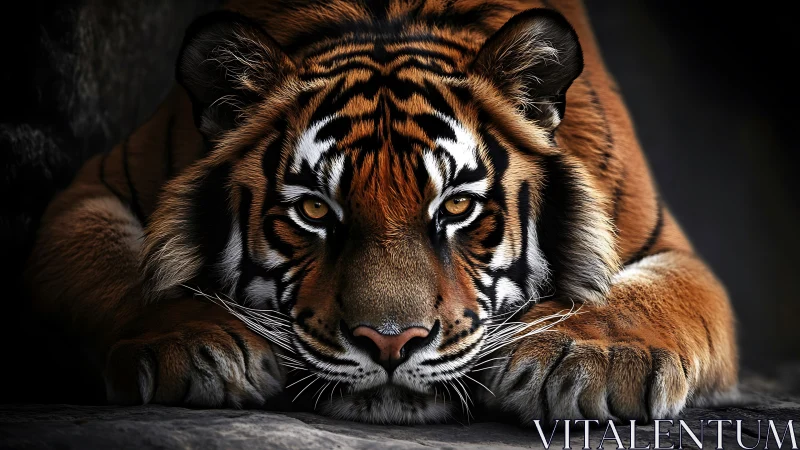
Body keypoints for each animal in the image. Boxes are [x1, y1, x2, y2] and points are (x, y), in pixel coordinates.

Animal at [24, 0, 738, 424]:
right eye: (315, 210)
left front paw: (590, 359)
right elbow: (125, 273)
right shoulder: (90, 192)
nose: (390, 343)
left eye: (457, 206)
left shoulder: (670, 244)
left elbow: (642, 298)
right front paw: (191, 344)